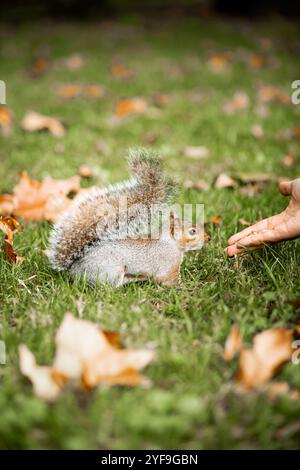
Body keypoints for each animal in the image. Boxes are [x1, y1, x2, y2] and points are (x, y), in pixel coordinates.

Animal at [48, 150, 210, 286]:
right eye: (192, 231)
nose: (209, 238)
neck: (170, 243)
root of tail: (73, 270)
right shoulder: (168, 265)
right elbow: (167, 281)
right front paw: (185, 287)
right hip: (112, 272)